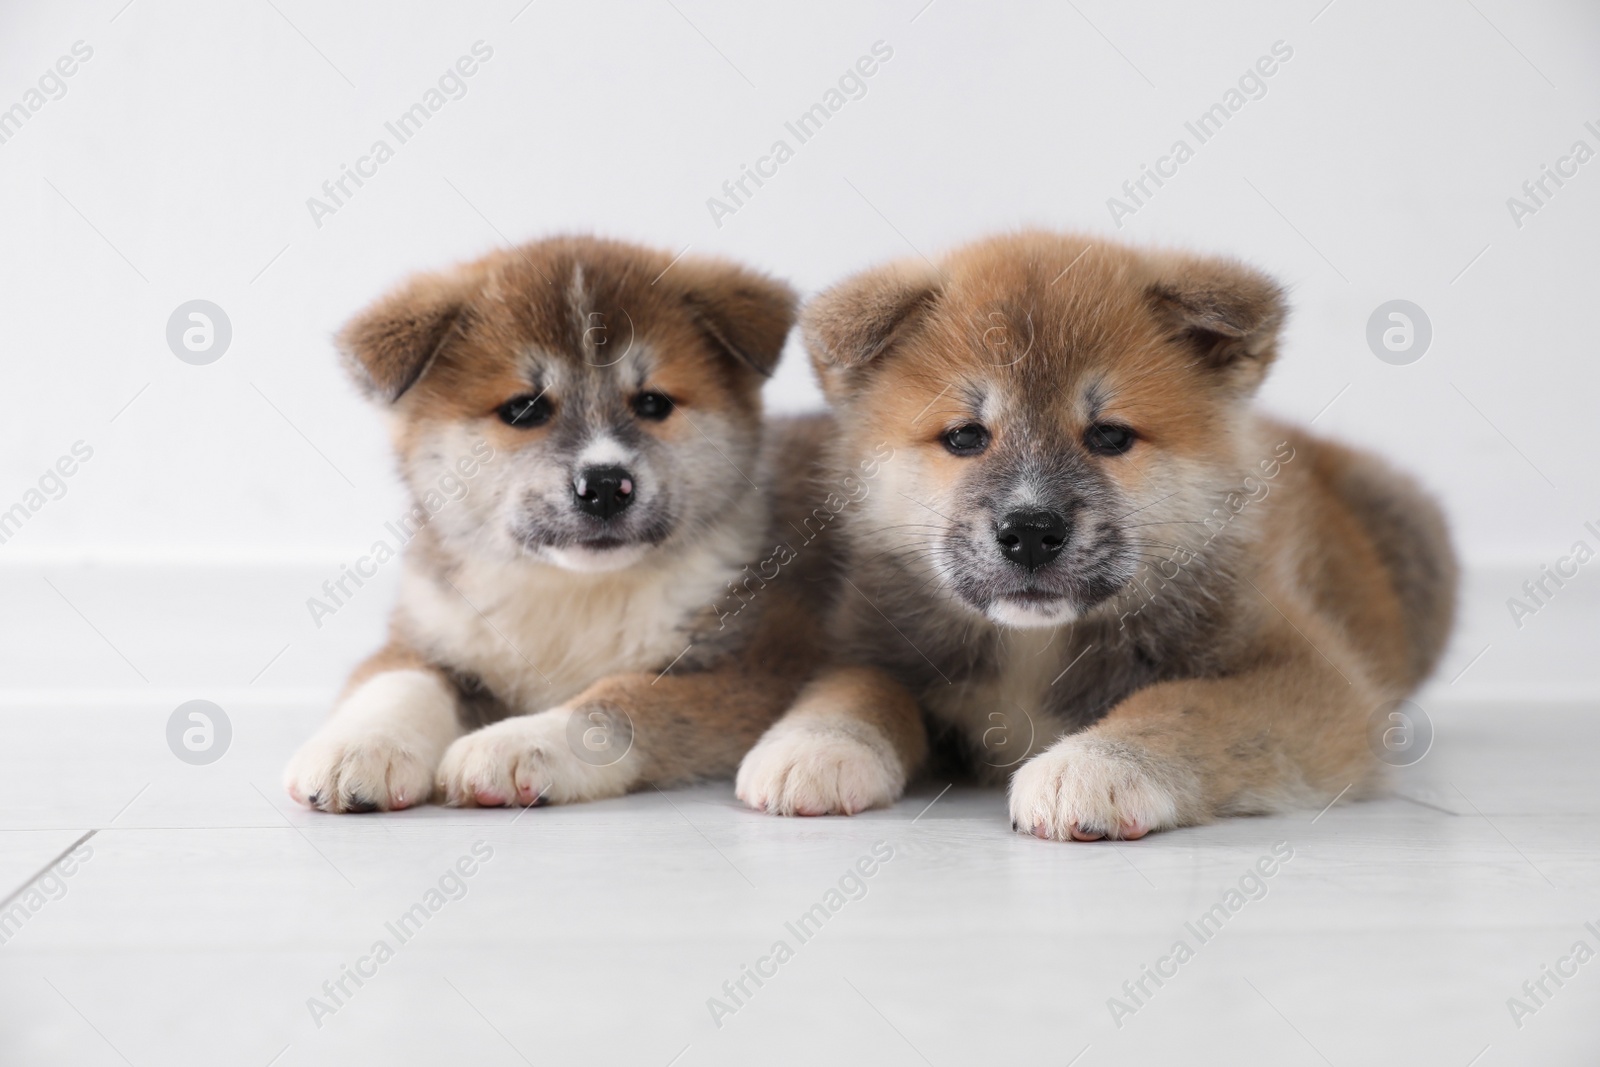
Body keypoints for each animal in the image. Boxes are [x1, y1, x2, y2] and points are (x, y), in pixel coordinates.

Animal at [286, 238, 832, 812]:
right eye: (524, 408)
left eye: (653, 402)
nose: (606, 485)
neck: (572, 593)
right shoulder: (424, 634)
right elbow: (397, 683)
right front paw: (360, 746)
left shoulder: (756, 665)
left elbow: (621, 699)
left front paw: (519, 742)